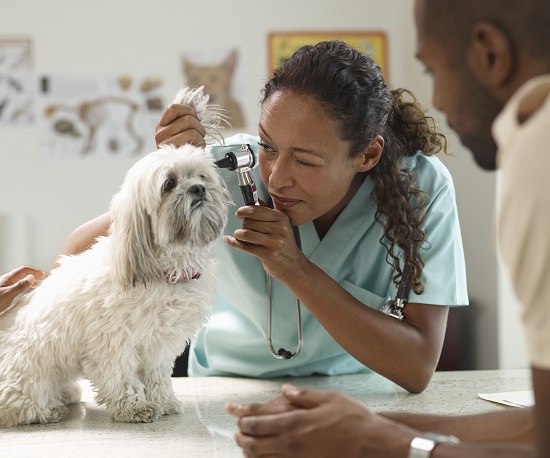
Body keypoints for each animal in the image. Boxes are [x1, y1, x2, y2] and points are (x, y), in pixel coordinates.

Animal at [0, 87, 231, 428]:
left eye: (201, 176)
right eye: (169, 184)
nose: (199, 189)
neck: (165, 268)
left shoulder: (160, 344)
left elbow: (157, 376)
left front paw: (163, 401)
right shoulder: (112, 342)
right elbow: (120, 377)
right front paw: (135, 407)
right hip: (26, 376)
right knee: (19, 405)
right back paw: (48, 411)